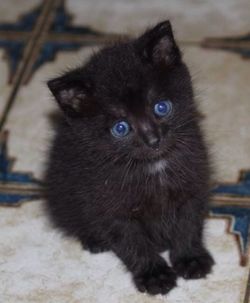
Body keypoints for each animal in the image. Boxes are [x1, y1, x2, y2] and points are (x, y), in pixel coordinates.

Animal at [45, 22, 213, 296]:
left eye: (161, 107)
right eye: (120, 128)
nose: (153, 140)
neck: (153, 166)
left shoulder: (192, 183)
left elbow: (188, 223)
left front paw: (190, 259)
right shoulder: (106, 204)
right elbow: (131, 241)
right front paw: (154, 275)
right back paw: (94, 240)